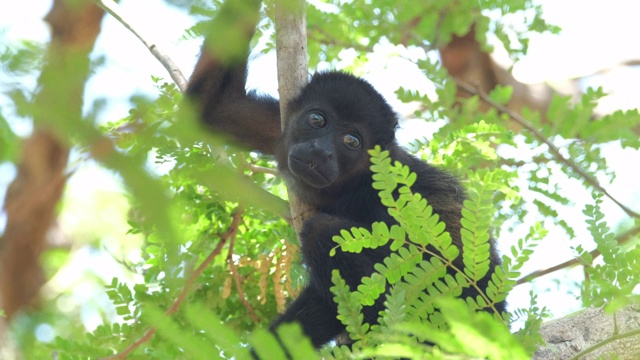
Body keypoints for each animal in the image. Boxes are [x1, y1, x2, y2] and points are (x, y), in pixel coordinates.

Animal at [186, 0, 504, 350]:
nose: (320, 151)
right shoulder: (276, 126)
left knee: (322, 231)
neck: (351, 183)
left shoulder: (393, 194)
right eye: (317, 120)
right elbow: (214, 109)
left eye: (352, 140)